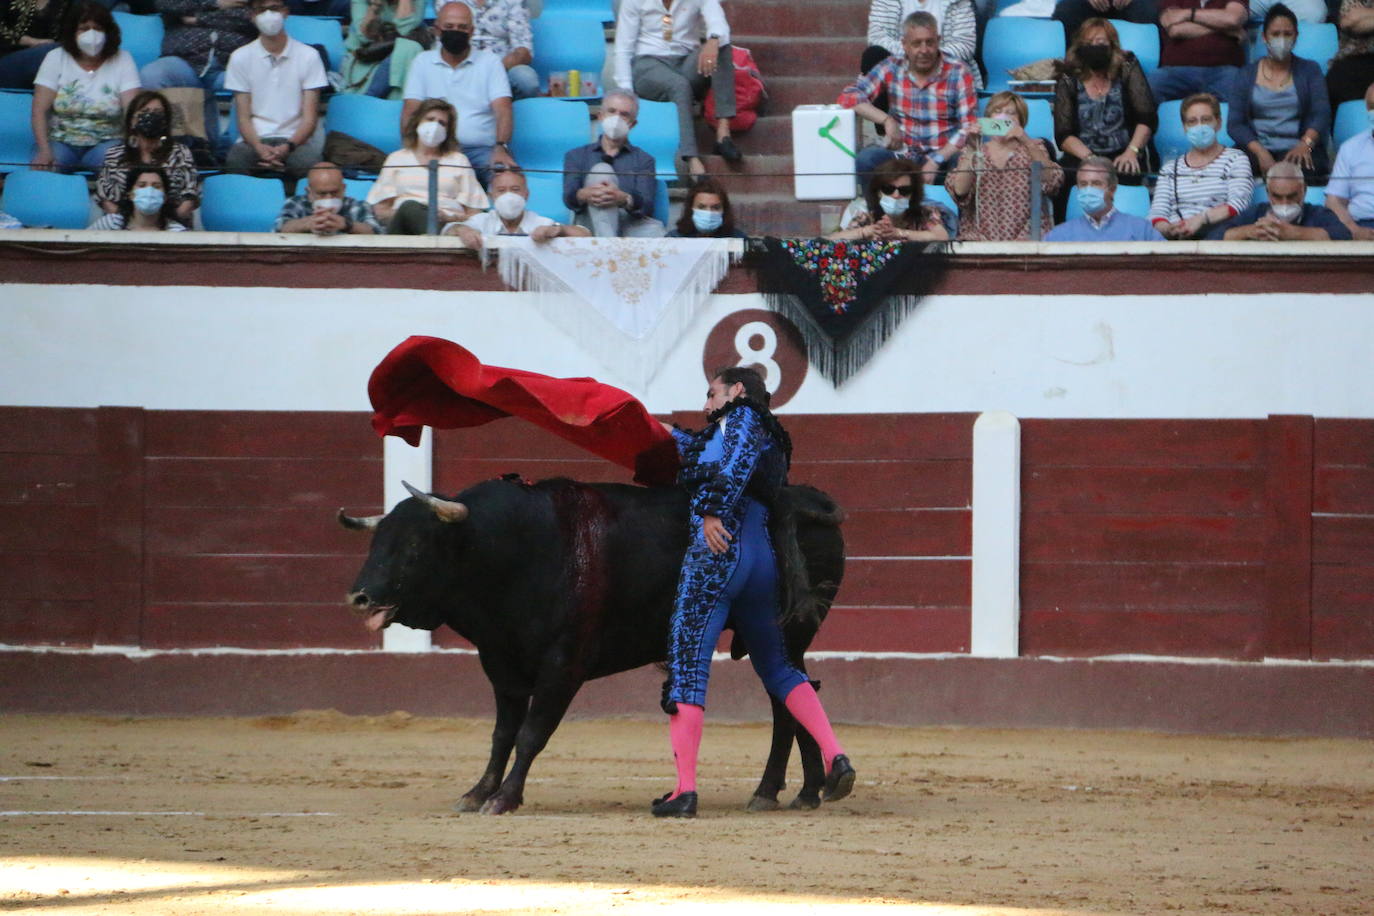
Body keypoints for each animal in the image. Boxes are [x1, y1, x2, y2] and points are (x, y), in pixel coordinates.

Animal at [336, 477, 840, 813]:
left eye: (415, 546)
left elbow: (531, 733)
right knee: (793, 692)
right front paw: (478, 792)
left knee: (786, 700)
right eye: (377, 542)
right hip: (778, 639)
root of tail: (807, 499)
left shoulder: (563, 665)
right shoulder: (502, 663)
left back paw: (776, 791)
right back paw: (806, 790)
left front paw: (505, 798)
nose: (359, 597)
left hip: (785, 632)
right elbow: (502, 733)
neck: (515, 552)